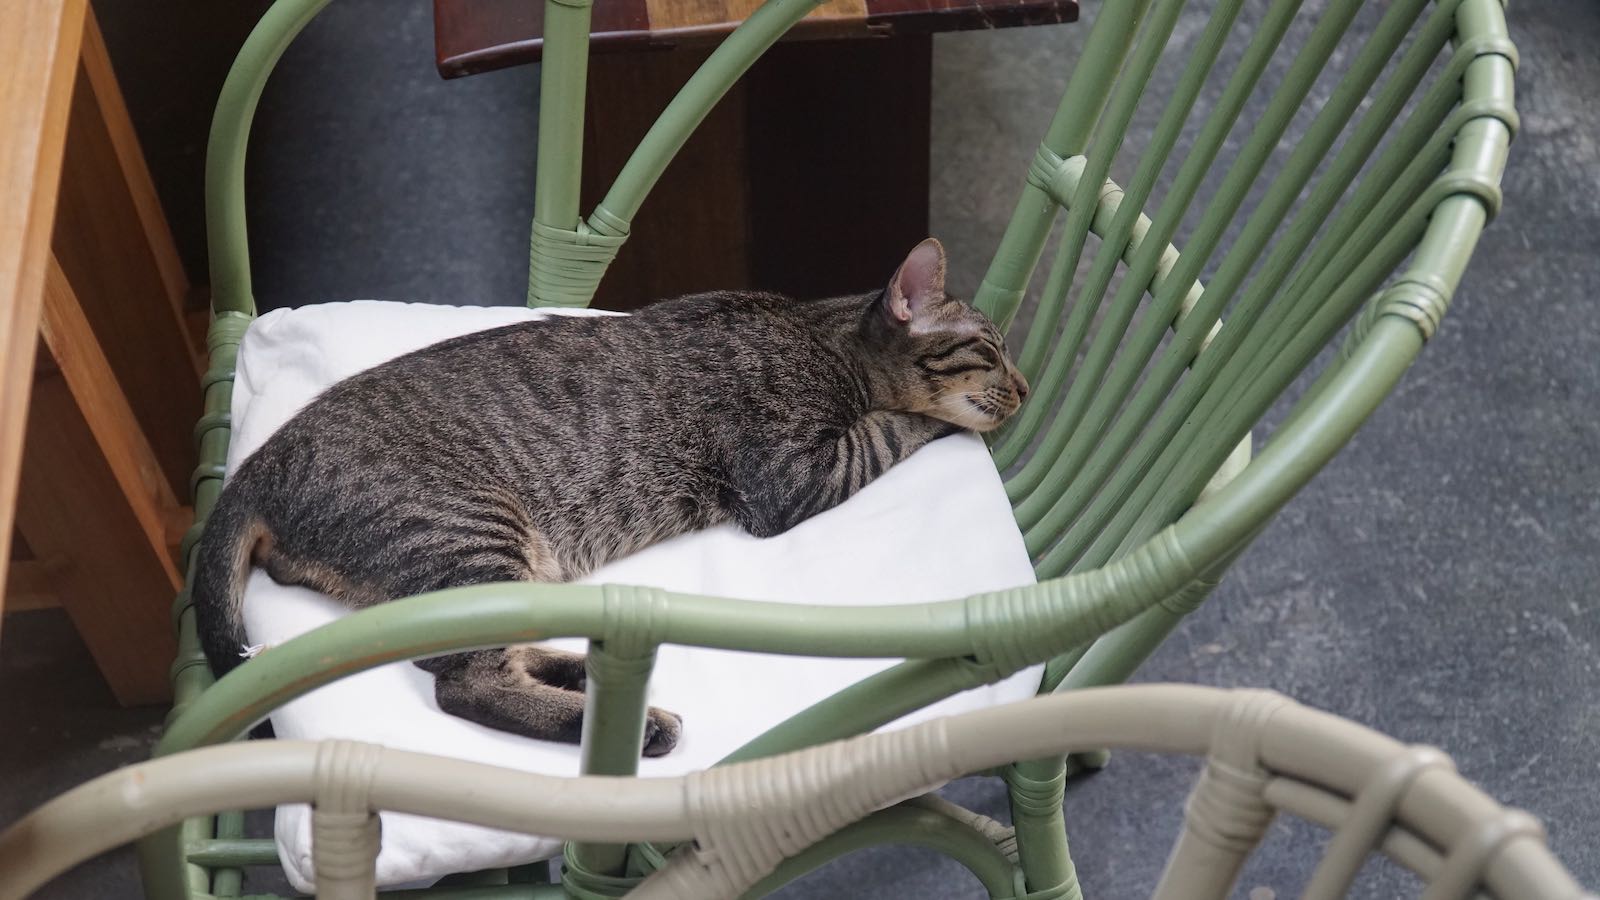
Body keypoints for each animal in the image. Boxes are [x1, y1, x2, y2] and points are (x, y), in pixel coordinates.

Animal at [193, 237, 1030, 749]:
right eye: (991, 351)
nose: (1025, 387)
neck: (817, 334)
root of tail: (258, 462)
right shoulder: (791, 475)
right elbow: (894, 427)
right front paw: (943, 421)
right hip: (469, 532)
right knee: (462, 683)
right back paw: (633, 723)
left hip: (489, 568)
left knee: (462, 655)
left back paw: (580, 670)